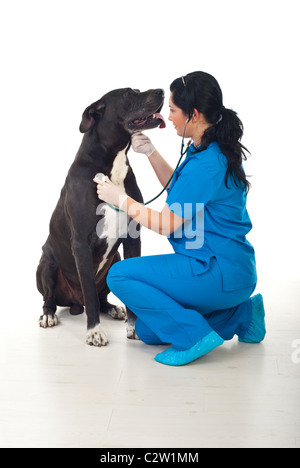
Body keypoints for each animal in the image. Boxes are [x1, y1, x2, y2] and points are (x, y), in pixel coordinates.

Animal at [37, 88, 166, 346]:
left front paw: (134, 327)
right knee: (53, 298)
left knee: (101, 297)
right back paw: (48, 314)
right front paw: (94, 331)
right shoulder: (81, 244)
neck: (111, 164)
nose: (161, 91)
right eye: (127, 94)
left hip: (115, 258)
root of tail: (75, 304)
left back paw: (113, 308)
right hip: (45, 264)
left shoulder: (132, 239)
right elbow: (89, 292)